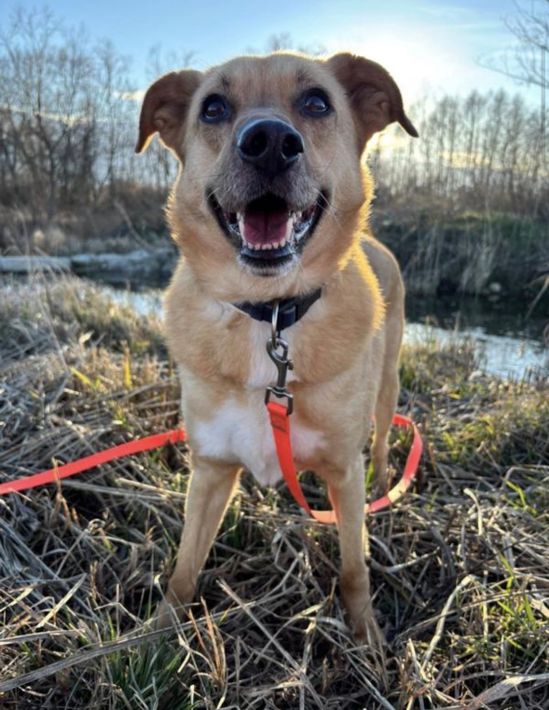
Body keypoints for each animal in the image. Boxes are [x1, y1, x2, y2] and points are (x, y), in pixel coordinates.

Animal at [136, 51, 417, 643]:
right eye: (213, 108)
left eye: (317, 102)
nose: (268, 142)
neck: (270, 315)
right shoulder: (210, 469)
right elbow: (184, 567)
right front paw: (156, 637)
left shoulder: (343, 473)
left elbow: (354, 567)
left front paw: (367, 639)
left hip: (387, 390)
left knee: (383, 442)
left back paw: (387, 484)